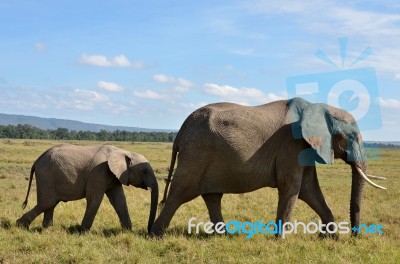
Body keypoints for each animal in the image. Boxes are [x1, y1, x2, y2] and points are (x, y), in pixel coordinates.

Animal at [16, 143, 159, 232]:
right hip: (46, 176)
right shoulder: (98, 172)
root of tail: (36, 160)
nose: (148, 230)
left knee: (50, 203)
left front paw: (128, 231)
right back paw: (21, 226)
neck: (122, 151)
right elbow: (95, 199)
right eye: (145, 171)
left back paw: (48, 229)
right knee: (47, 202)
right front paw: (83, 232)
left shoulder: (114, 176)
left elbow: (119, 201)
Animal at [150, 98, 384, 238]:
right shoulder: (291, 146)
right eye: (352, 137)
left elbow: (309, 190)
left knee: (212, 196)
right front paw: (280, 240)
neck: (319, 107)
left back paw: (223, 236)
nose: (354, 236)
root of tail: (180, 131)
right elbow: (292, 187)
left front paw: (329, 238)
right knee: (181, 191)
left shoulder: (304, 148)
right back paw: (155, 235)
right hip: (196, 153)